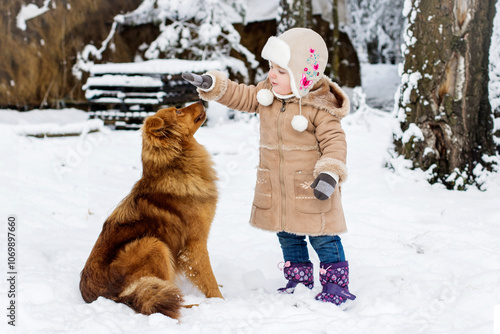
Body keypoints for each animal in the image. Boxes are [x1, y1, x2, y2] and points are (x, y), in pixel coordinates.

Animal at [79, 101, 223, 318]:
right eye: (178, 111)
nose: (201, 100)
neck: (176, 164)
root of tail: (103, 297)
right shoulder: (194, 245)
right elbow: (209, 280)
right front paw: (222, 301)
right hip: (153, 244)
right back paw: (192, 306)